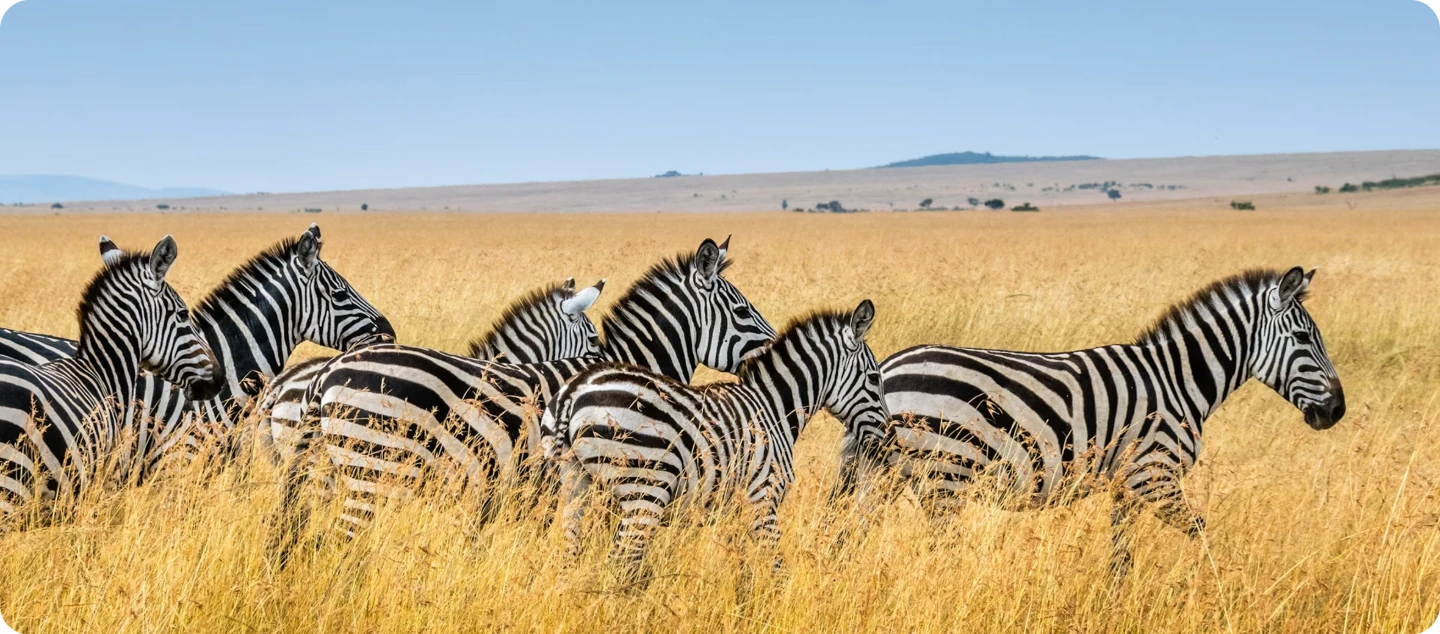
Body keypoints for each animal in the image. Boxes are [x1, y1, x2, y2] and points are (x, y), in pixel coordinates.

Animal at [543, 300, 884, 574]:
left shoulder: (735, 508)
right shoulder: (764, 497)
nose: (885, 436)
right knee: (621, 563)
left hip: (575, 484)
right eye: (873, 377)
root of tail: (574, 392)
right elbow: (775, 566)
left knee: (569, 557)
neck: (773, 408)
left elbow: (743, 567)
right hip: (645, 490)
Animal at [853, 267, 1345, 575]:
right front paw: (1213, 590)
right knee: (939, 549)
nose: (1337, 411)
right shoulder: (1155, 474)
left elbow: (1121, 554)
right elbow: (1201, 534)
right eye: (1303, 338)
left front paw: (1117, 600)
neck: (1178, 379)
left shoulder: (1127, 483)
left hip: (887, 476)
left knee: (851, 534)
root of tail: (888, 368)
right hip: (945, 475)